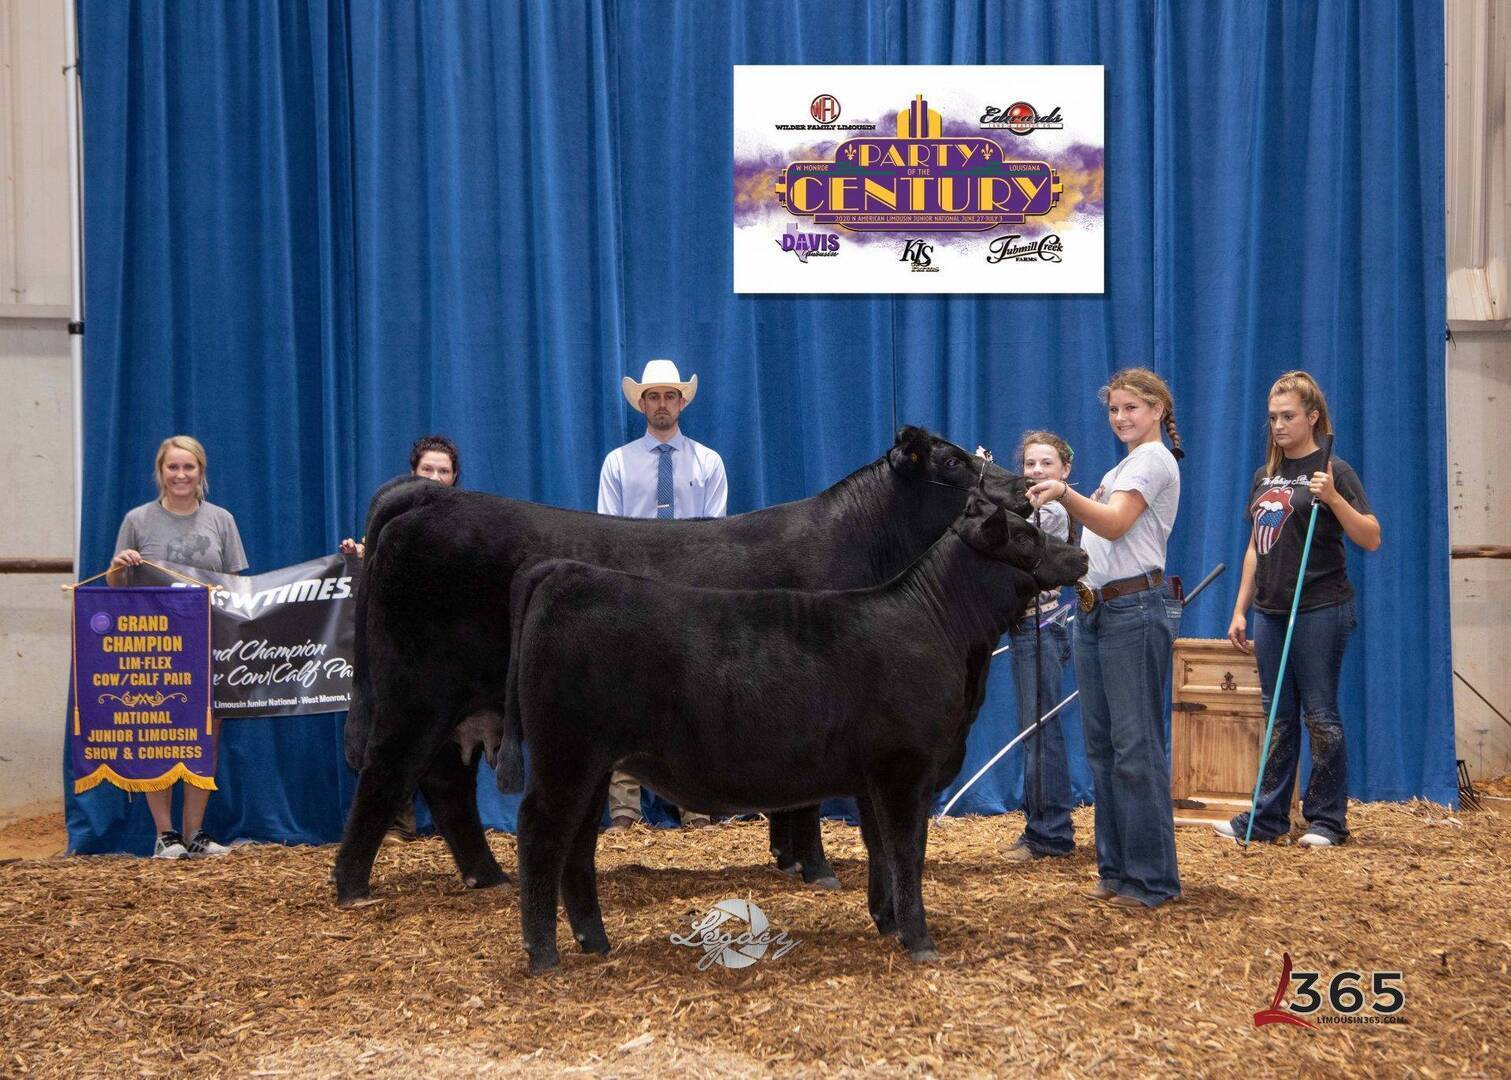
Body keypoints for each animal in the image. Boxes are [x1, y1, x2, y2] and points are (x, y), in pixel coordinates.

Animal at [333, 426, 1033, 905]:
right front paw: (817, 868)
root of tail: (427, 499)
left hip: (458, 705)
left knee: (445, 783)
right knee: (386, 773)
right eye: (954, 462)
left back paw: (489, 876)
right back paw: (353, 887)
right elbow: (806, 801)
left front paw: (786, 859)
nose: (1026, 489)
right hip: (416, 693)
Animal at [499, 486, 1090, 972]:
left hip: (593, 762)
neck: (936, 626)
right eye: (1024, 536)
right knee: (541, 834)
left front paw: (887, 922)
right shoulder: (905, 769)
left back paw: (595, 943)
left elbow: (881, 849)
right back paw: (543, 954)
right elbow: (907, 851)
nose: (1081, 553)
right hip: (564, 757)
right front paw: (920, 942)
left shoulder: (872, 777)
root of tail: (565, 571)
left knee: (577, 848)